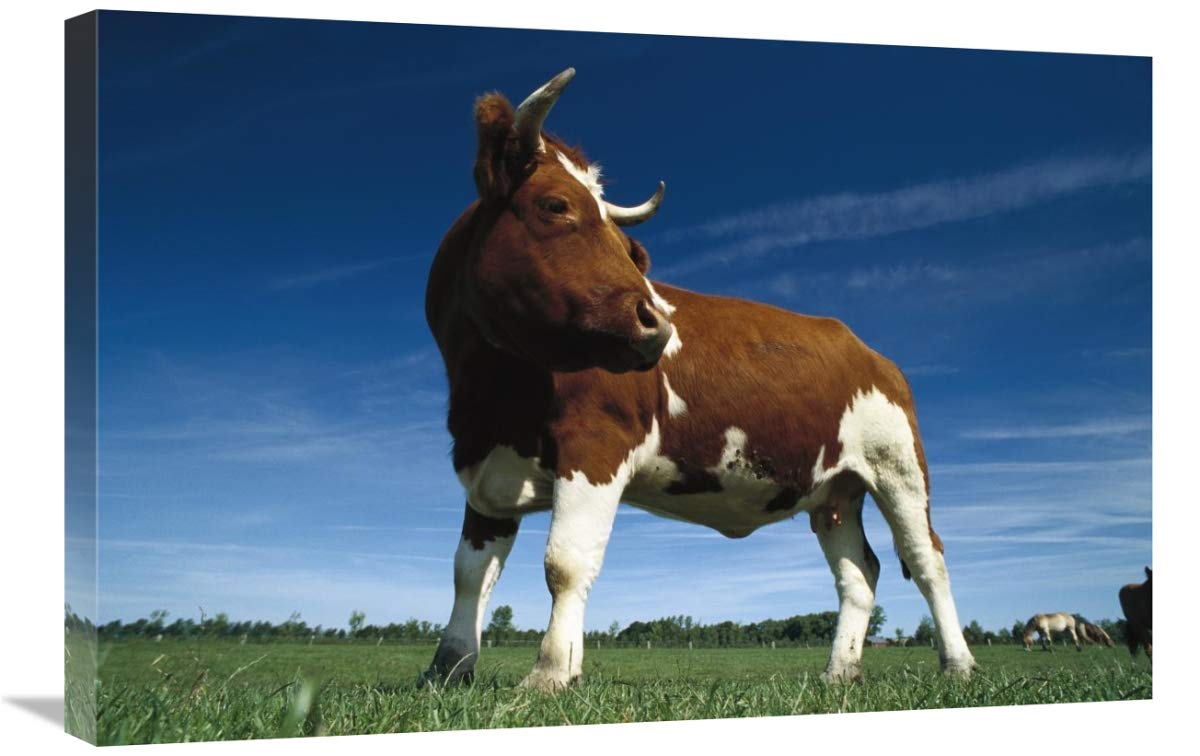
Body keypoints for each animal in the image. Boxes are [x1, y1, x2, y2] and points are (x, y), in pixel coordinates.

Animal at [420, 68, 976, 691]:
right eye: (555, 204)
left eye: (628, 246)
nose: (657, 323)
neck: (494, 392)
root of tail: (865, 348)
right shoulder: (486, 467)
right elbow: (468, 574)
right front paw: (448, 670)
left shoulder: (597, 447)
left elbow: (565, 562)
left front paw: (549, 675)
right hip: (834, 490)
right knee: (860, 573)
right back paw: (839, 672)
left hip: (899, 466)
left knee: (927, 559)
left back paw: (958, 664)